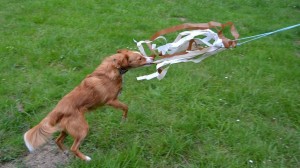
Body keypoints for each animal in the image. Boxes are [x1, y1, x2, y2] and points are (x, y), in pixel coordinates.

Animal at [23, 49, 154, 161]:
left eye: (142, 55)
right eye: (140, 58)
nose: (152, 57)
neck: (115, 66)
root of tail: (58, 109)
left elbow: (126, 107)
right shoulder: (111, 100)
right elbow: (126, 107)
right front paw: (124, 119)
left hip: (66, 129)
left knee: (58, 140)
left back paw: (65, 152)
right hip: (83, 129)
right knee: (74, 147)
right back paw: (86, 158)